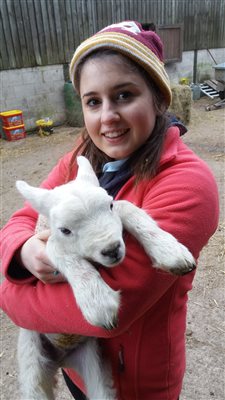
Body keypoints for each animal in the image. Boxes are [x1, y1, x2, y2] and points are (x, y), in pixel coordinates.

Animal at [15, 155, 195, 400]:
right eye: (65, 230)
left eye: (108, 205)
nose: (112, 249)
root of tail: (63, 359)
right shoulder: (50, 242)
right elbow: (56, 247)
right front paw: (98, 303)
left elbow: (125, 205)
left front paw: (170, 251)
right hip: (31, 359)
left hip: (93, 360)